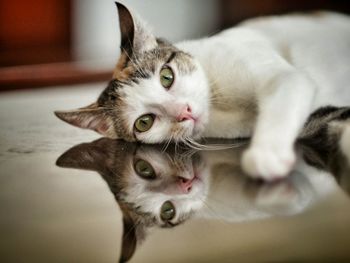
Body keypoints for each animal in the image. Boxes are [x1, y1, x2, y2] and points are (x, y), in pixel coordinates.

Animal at [54, 3, 350, 182]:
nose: (184, 111)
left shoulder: (283, 76)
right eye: (144, 122)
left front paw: (266, 155)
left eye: (167, 76)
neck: (220, 106)